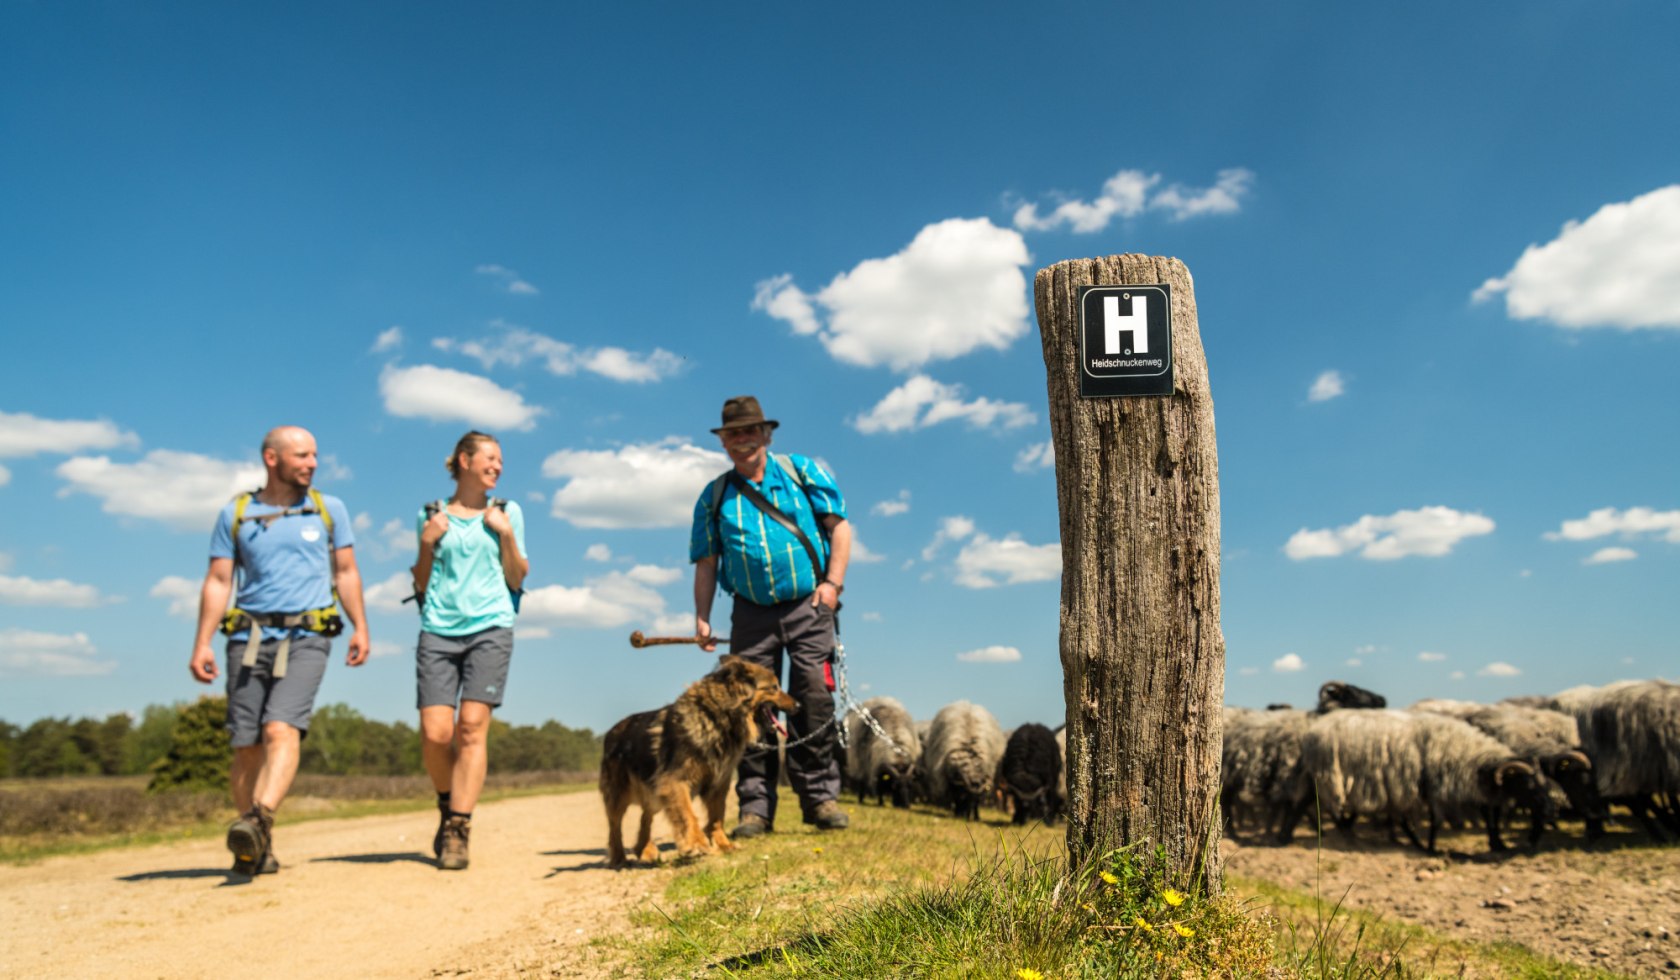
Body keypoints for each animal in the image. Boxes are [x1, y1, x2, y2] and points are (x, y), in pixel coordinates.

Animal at [601, 658, 796, 867]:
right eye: (774, 688)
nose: (799, 705)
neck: (717, 717)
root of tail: (610, 733)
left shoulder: (718, 784)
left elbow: (717, 817)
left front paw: (723, 844)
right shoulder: (674, 782)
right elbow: (688, 814)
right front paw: (697, 843)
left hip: (653, 791)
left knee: (645, 817)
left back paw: (644, 850)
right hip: (619, 794)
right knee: (615, 826)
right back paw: (619, 858)